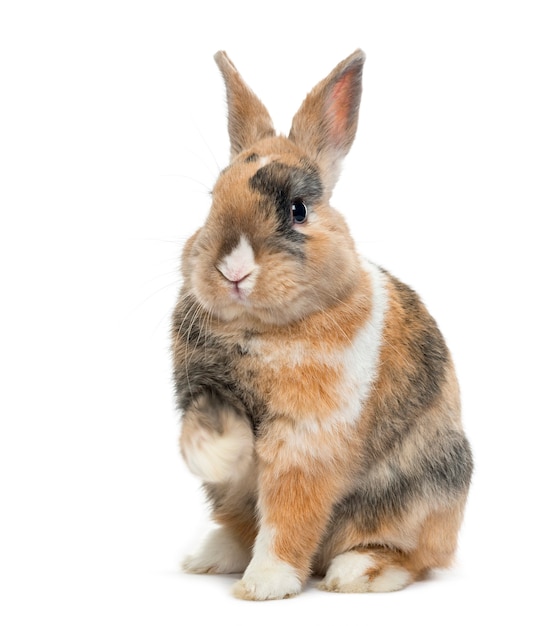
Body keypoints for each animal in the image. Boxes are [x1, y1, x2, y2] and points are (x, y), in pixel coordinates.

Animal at [171, 50, 470, 600]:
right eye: (213, 197)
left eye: (298, 209)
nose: (233, 271)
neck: (262, 330)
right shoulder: (206, 392)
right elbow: (209, 438)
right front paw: (219, 458)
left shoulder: (306, 442)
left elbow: (287, 517)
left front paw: (263, 585)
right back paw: (208, 556)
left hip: (418, 496)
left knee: (414, 556)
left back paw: (354, 572)